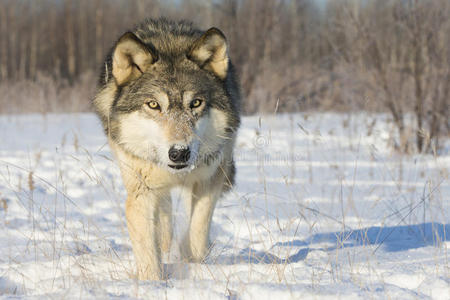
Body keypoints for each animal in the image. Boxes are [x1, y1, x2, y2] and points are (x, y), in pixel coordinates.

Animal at [92, 18, 241, 280]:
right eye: (153, 105)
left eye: (196, 103)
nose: (179, 152)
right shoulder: (141, 191)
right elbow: (147, 248)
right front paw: (152, 282)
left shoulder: (210, 180)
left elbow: (197, 232)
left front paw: (190, 260)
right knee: (163, 220)